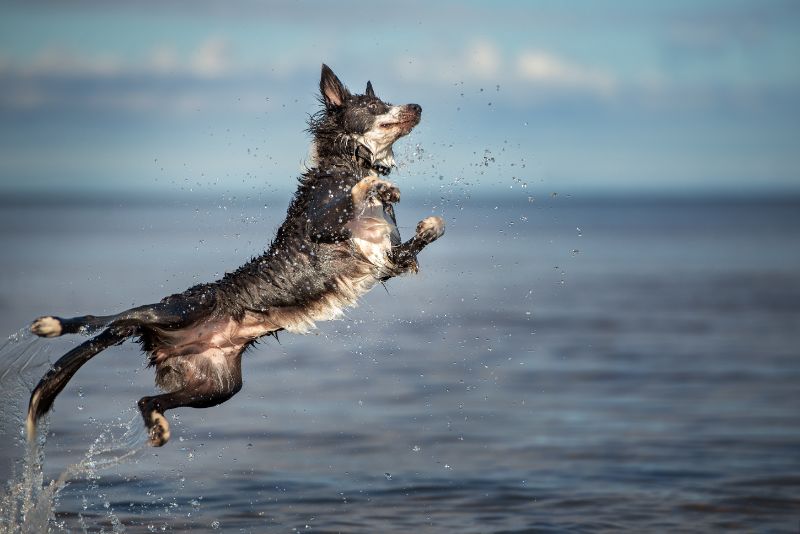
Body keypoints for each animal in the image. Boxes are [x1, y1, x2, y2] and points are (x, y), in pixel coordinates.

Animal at [26, 63, 444, 448]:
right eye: (374, 106)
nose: (418, 106)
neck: (348, 162)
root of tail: (160, 341)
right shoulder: (321, 227)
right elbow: (355, 196)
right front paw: (378, 186)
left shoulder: (386, 261)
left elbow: (429, 233)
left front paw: (421, 218)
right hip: (180, 309)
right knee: (106, 319)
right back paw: (52, 324)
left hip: (217, 386)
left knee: (147, 398)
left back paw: (158, 426)